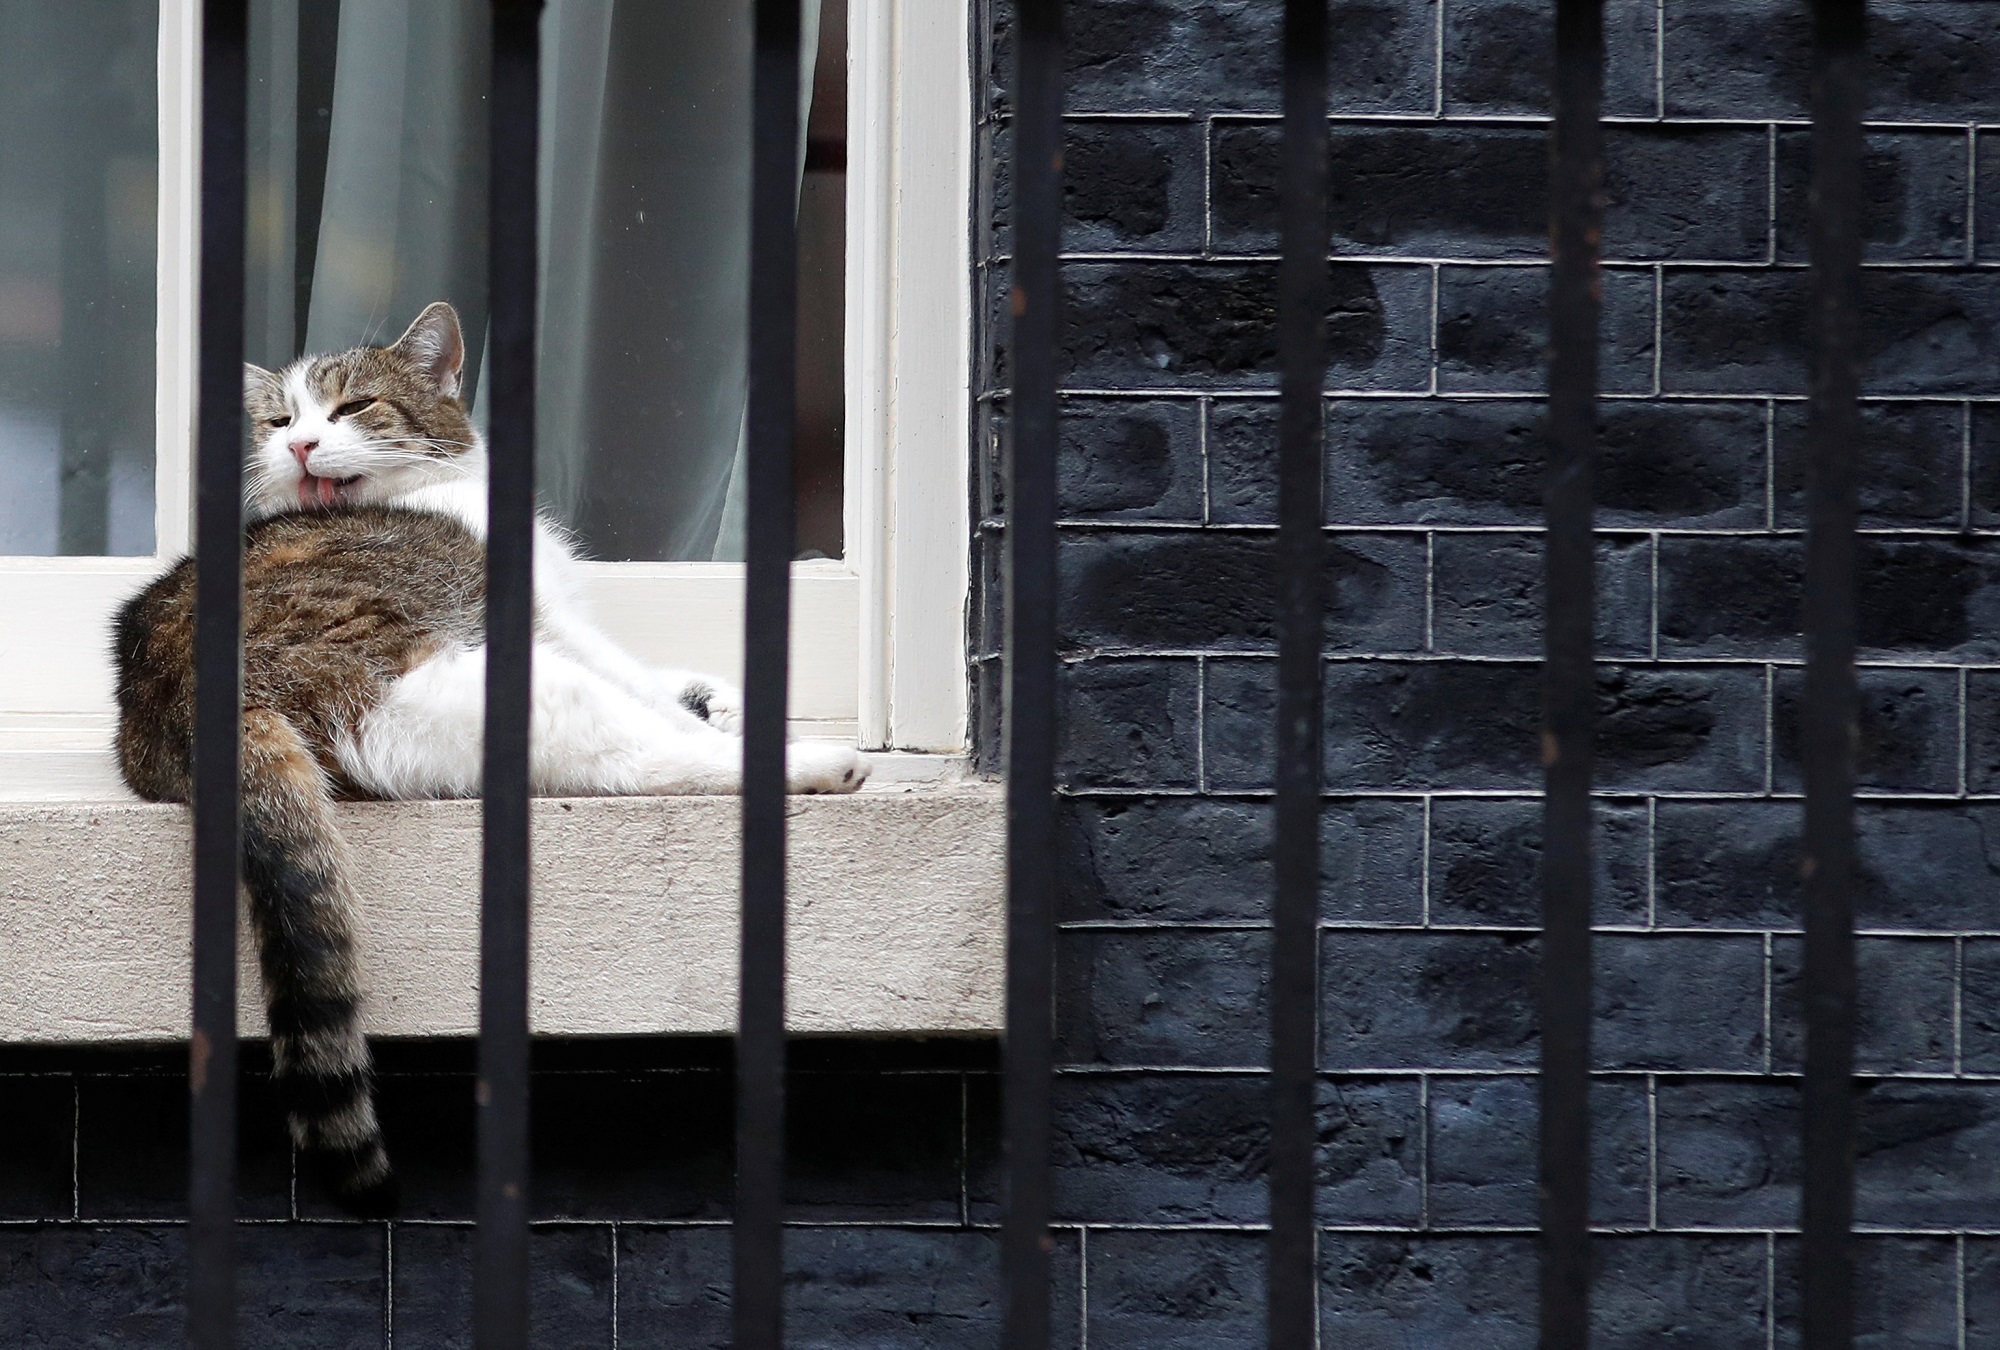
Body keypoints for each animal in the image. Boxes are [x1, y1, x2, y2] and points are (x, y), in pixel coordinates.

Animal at [115, 304, 868, 1216]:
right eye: (278, 421)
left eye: (352, 406)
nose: (299, 446)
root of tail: (179, 696)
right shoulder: (557, 627)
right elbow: (639, 684)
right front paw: (721, 716)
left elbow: (667, 679)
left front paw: (715, 695)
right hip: (506, 681)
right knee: (644, 756)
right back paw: (814, 760)